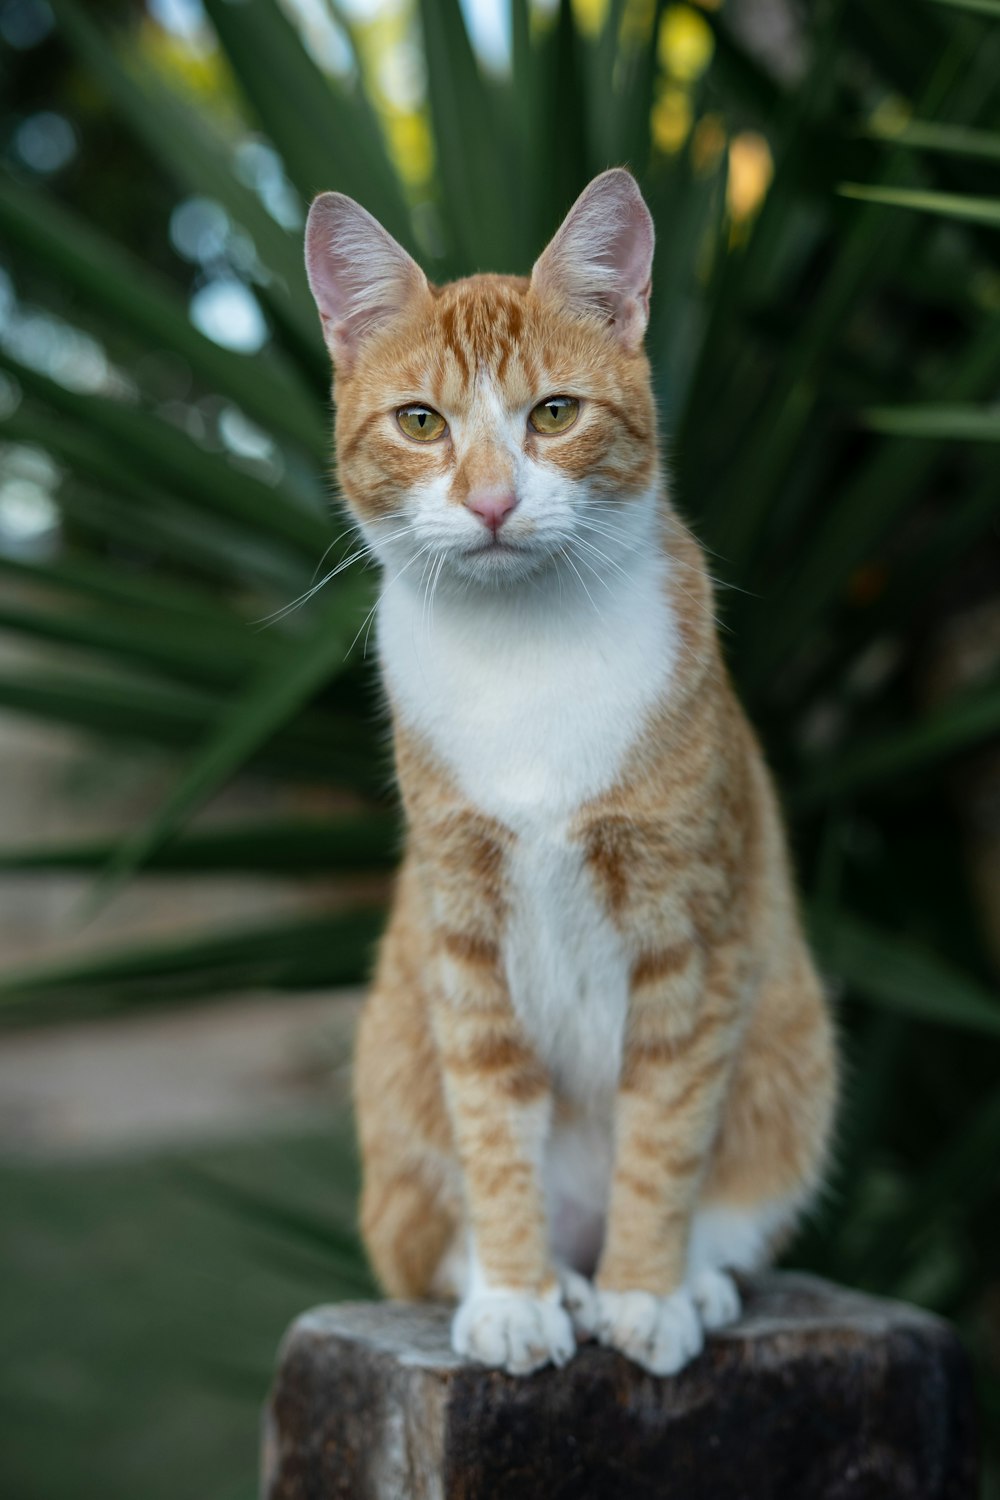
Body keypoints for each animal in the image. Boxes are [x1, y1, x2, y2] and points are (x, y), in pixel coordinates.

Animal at [302, 170, 839, 1374]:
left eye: (553, 414)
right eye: (421, 422)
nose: (493, 502)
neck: (523, 658)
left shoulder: (690, 933)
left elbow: (664, 1132)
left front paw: (646, 1290)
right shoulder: (461, 932)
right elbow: (495, 1129)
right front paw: (514, 1294)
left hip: (792, 1050)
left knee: (727, 1200)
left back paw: (667, 1283)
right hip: (393, 1089)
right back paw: (551, 1285)